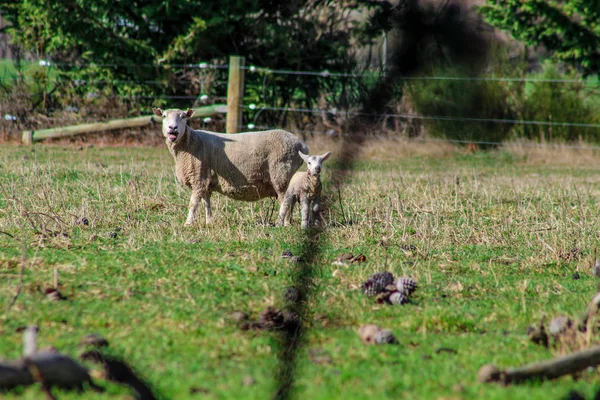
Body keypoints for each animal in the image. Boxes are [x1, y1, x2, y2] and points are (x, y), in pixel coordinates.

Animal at [154, 107, 310, 225]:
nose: (172, 128)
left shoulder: (198, 177)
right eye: (164, 116)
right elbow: (206, 203)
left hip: (281, 173)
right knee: (291, 201)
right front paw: (209, 222)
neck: (190, 143)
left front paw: (188, 223)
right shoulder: (205, 181)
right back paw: (288, 222)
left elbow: (193, 204)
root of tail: (301, 145)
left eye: (183, 117)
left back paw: (282, 223)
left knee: (286, 200)